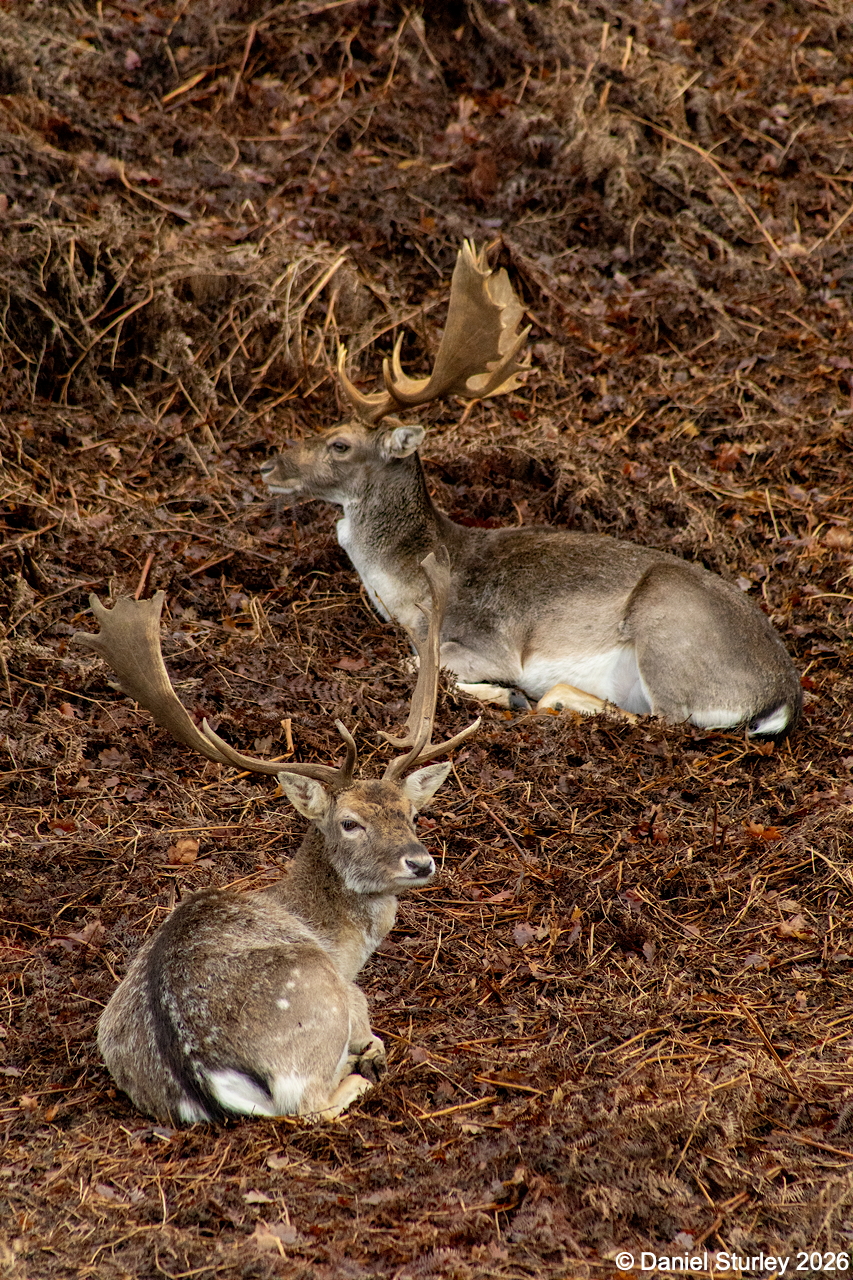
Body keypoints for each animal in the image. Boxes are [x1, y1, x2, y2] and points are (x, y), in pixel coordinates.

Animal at [76, 553, 478, 1125]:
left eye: (409, 812)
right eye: (349, 822)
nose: (420, 863)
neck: (341, 939)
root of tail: (201, 1068)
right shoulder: (350, 992)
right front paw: (372, 1052)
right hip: (315, 999)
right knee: (310, 1103)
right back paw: (363, 1070)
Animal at [261, 241, 801, 739]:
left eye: (340, 444)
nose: (269, 465)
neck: (410, 589)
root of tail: (783, 694)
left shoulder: (487, 642)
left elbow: (414, 664)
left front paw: (503, 691)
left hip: (667, 627)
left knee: (663, 720)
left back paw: (544, 698)